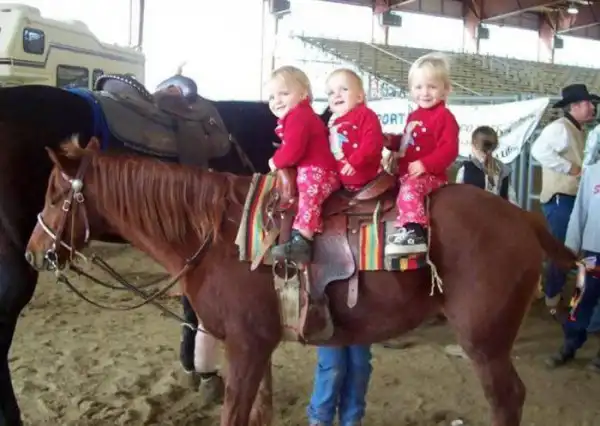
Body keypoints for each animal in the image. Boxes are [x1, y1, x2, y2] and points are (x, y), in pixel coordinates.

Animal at [25, 137, 578, 426]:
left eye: (54, 194)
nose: (33, 252)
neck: (217, 236)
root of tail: (524, 218)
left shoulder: (245, 347)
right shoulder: (259, 346)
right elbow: (260, 412)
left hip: (485, 343)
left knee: (507, 399)